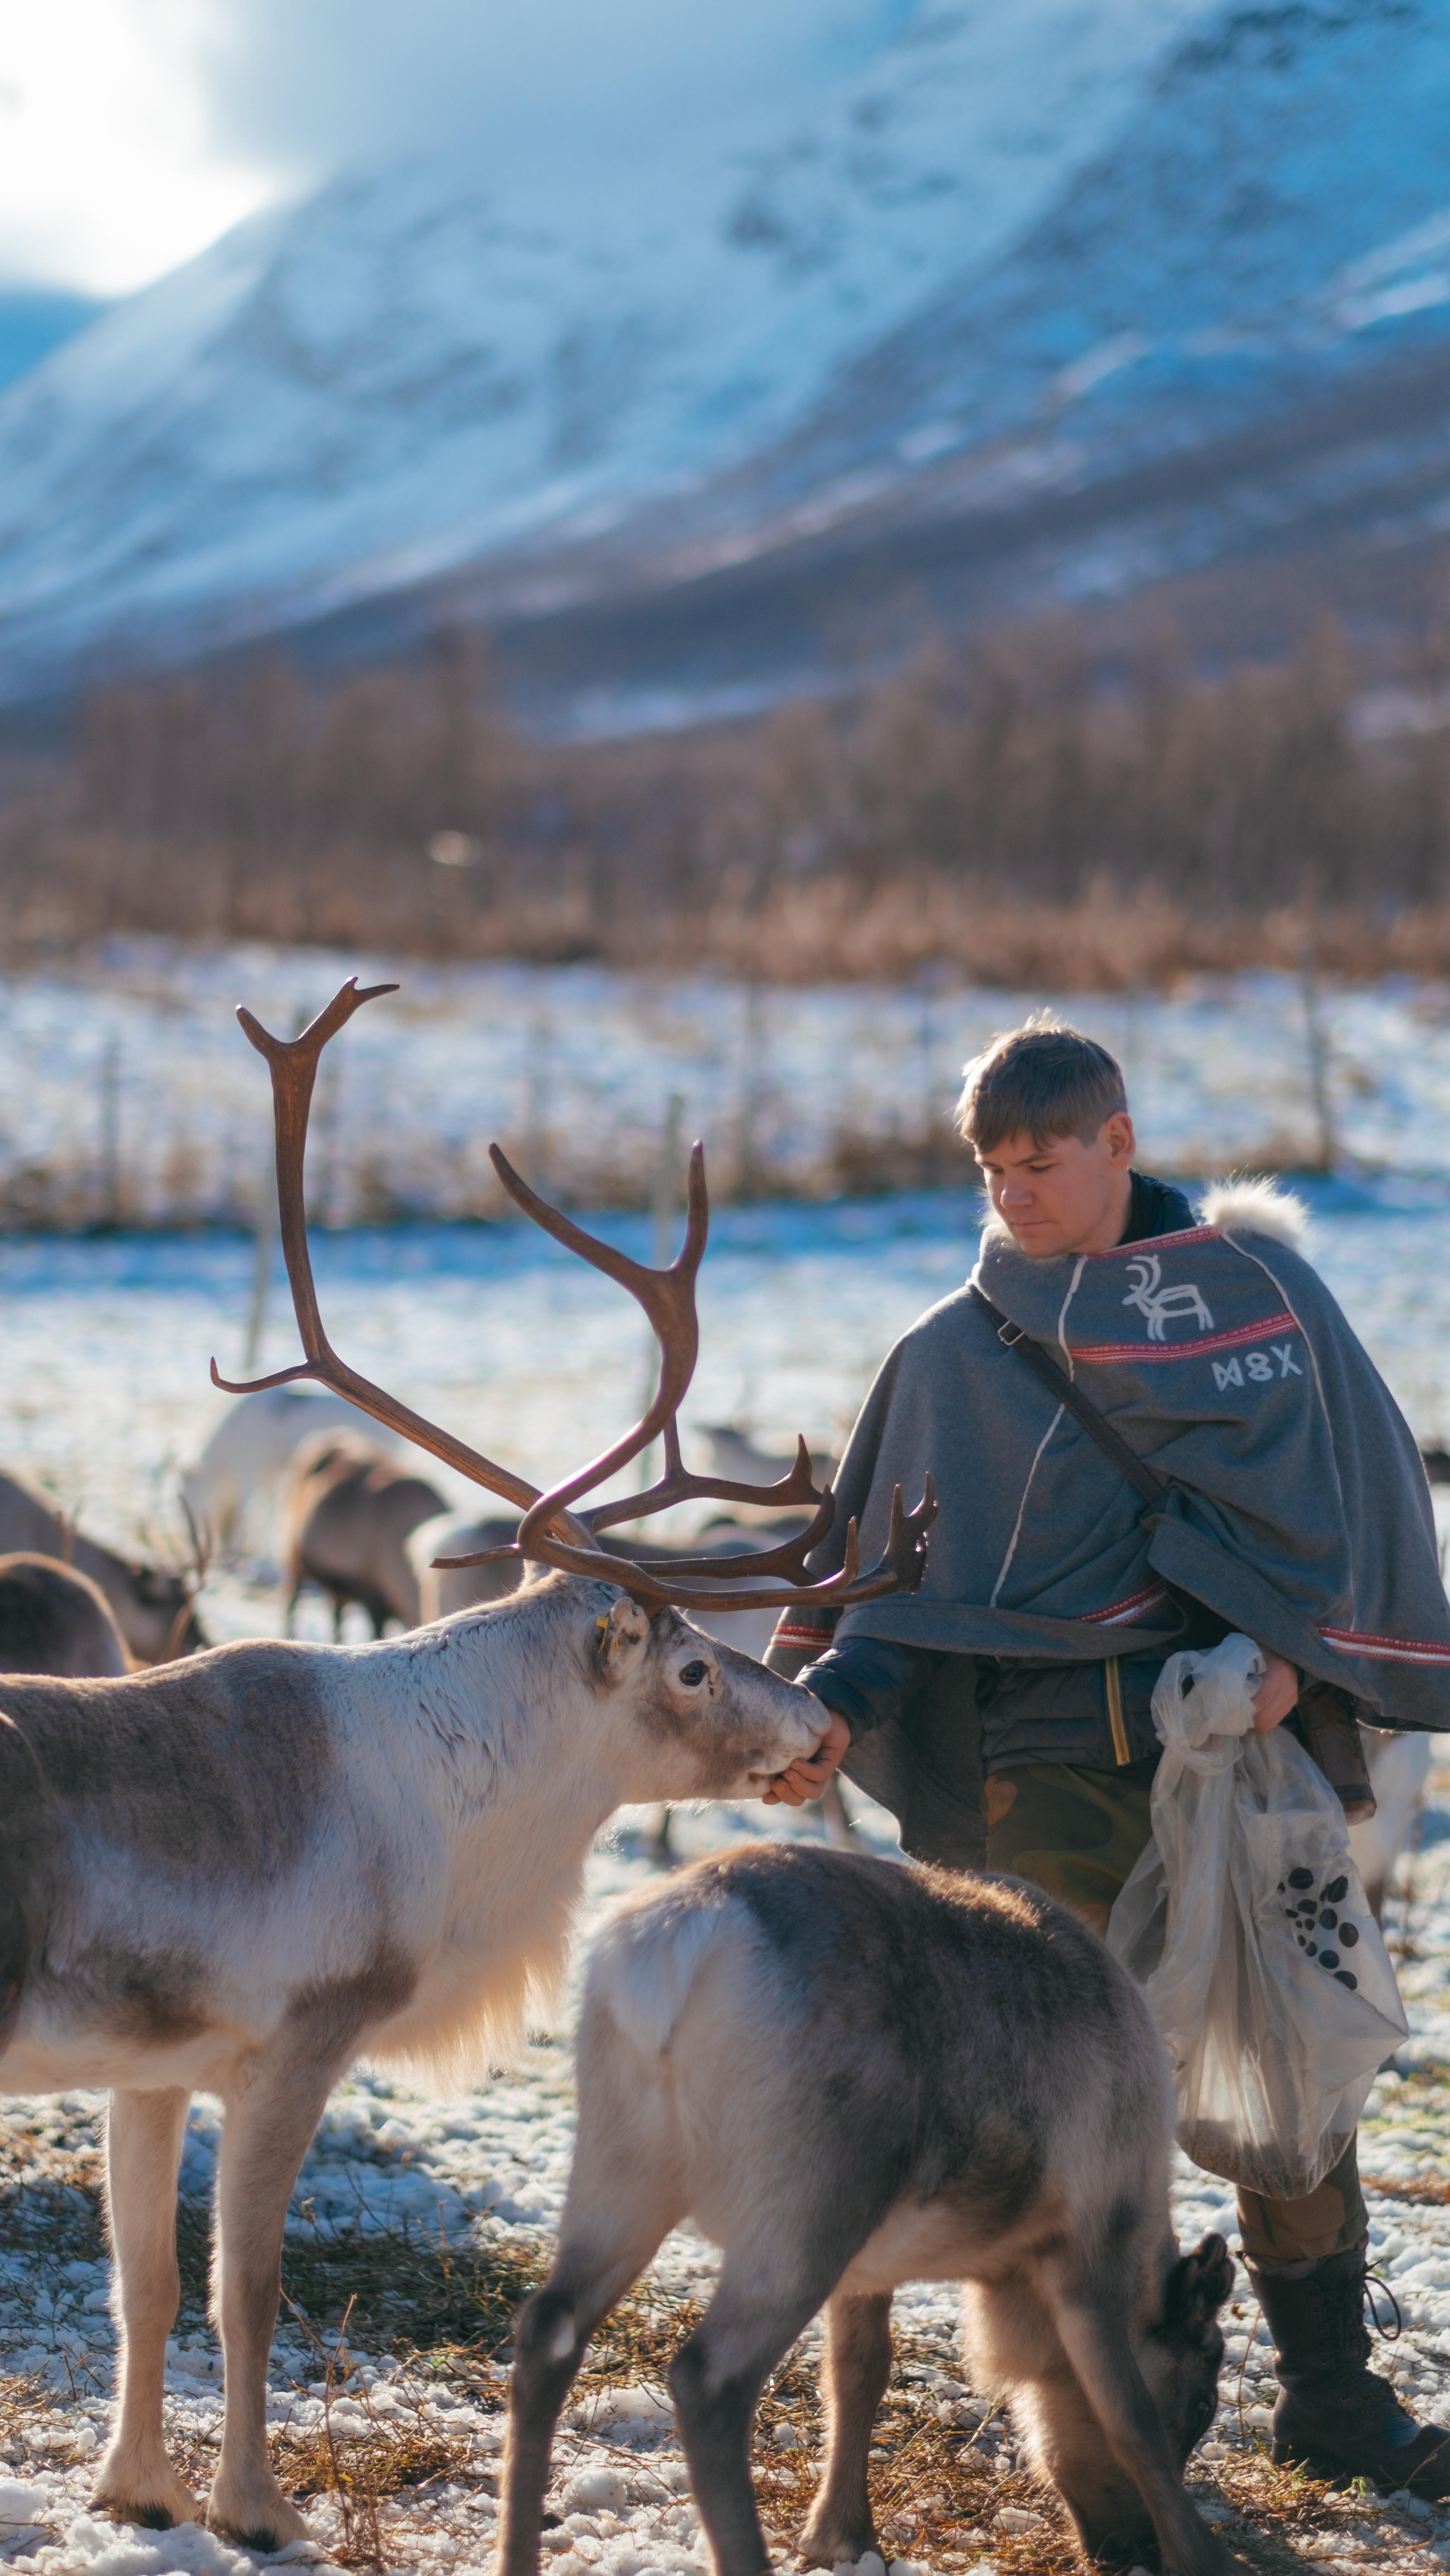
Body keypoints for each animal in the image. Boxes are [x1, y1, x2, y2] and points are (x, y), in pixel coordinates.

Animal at [0, 979, 935, 2560]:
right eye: (692, 1667)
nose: (820, 1732)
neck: (458, 1823)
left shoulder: (153, 2066)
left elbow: (146, 2279)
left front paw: (138, 2495)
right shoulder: (298, 2036)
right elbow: (244, 2287)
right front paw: (260, 2510)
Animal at [500, 1843, 1234, 2576]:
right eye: (1202, 2401)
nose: (1132, 2548)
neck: (1002, 2271)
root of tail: (687, 1933)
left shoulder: (868, 2271)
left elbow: (858, 2375)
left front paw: (842, 2534)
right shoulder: (1091, 2242)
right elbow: (1129, 2417)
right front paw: (1200, 2556)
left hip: (621, 2169)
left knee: (547, 2329)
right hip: (807, 2213)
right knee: (711, 2380)